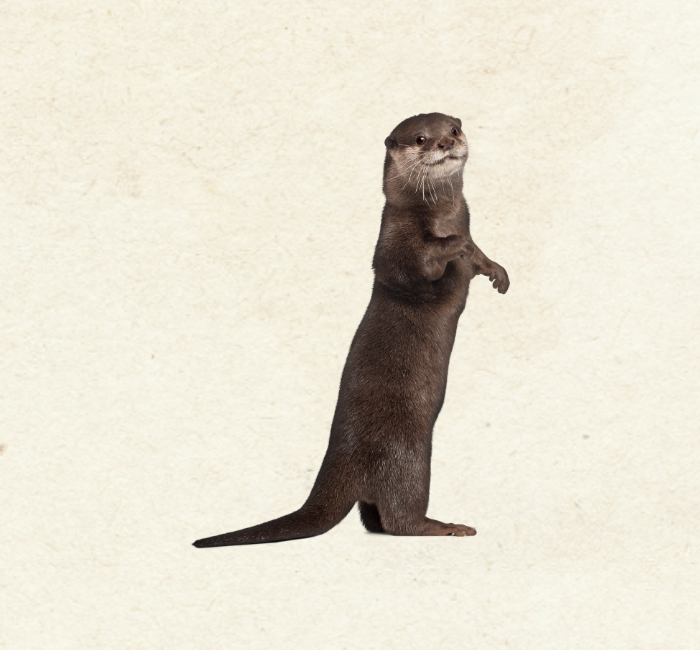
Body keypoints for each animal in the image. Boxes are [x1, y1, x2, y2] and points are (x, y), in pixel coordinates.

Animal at [193, 112, 509, 547]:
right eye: (421, 139)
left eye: (453, 129)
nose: (446, 143)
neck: (444, 215)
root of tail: (339, 461)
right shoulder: (394, 245)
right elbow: (419, 267)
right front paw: (452, 247)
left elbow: (478, 256)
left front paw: (497, 272)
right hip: (410, 462)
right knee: (399, 520)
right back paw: (445, 526)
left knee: (374, 520)